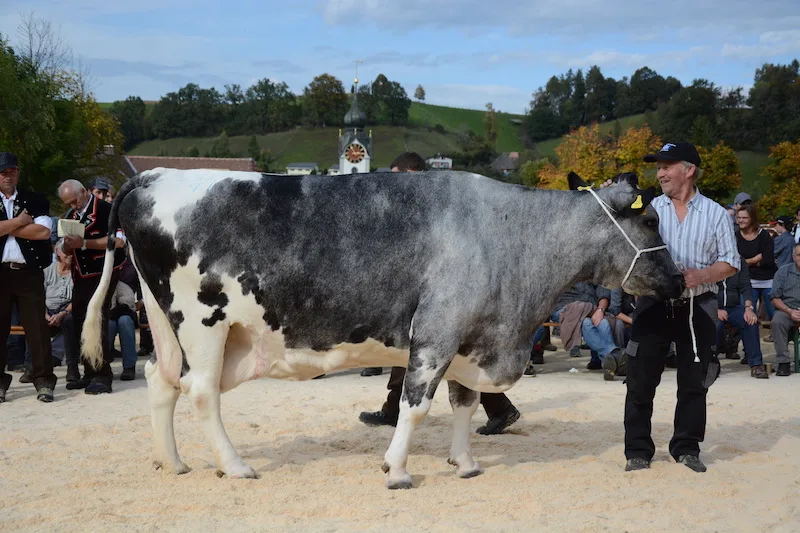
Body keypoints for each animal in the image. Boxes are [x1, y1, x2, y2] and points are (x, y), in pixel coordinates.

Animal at [81, 168, 684, 489]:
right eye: (652, 218)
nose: (680, 280)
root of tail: (151, 176)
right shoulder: (437, 331)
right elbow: (416, 405)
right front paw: (396, 469)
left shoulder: (469, 338)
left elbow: (464, 403)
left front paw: (465, 463)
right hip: (204, 321)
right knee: (202, 392)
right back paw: (235, 465)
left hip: (165, 322)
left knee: (161, 382)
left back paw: (173, 461)